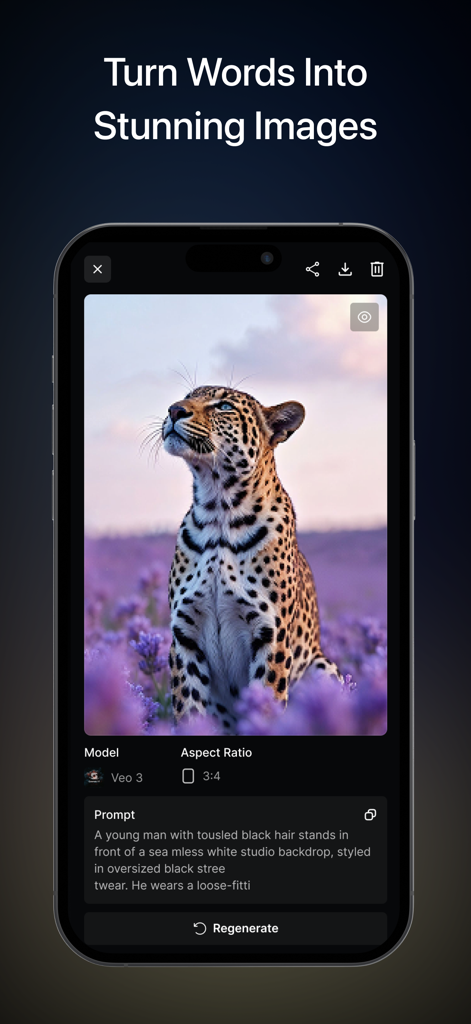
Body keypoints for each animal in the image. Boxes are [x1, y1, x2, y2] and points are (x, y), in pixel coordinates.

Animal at [161, 385, 342, 731]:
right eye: (187, 396)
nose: (174, 410)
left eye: (224, 406)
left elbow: (266, 706)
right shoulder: (185, 636)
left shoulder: (270, 636)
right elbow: (189, 709)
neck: (218, 510)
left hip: (323, 667)